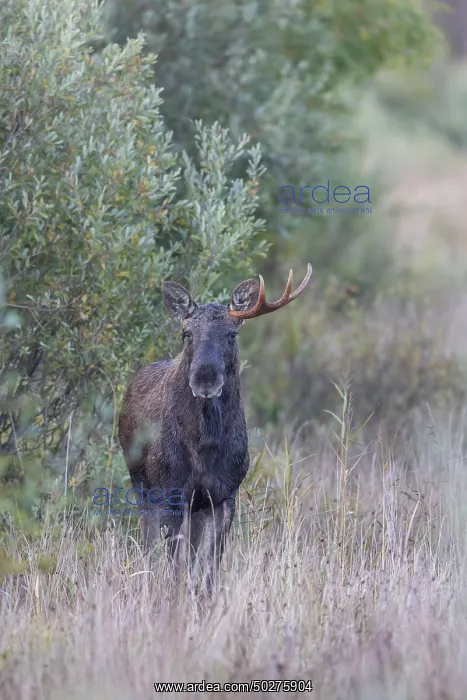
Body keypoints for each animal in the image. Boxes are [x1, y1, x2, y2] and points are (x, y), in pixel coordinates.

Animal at [118, 263, 312, 592]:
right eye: (186, 334)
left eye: (232, 334)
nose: (205, 380)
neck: (204, 448)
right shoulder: (171, 491)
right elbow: (176, 563)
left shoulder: (224, 495)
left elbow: (210, 567)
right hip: (141, 483)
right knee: (150, 545)